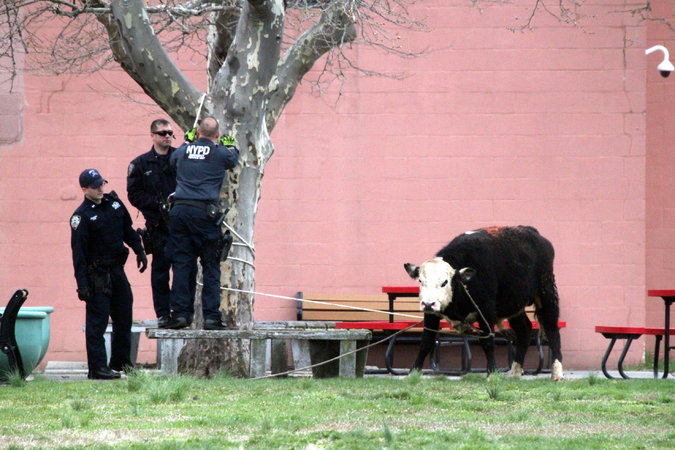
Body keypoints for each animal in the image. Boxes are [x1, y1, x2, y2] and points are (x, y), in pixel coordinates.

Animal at [404, 226, 564, 381]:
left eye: (444, 282)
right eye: (420, 281)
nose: (428, 304)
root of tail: (534, 233)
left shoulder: (486, 311)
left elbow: (487, 343)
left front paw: (492, 373)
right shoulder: (432, 314)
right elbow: (426, 341)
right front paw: (413, 372)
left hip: (546, 292)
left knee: (551, 328)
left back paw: (557, 372)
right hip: (515, 305)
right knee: (524, 330)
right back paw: (515, 372)